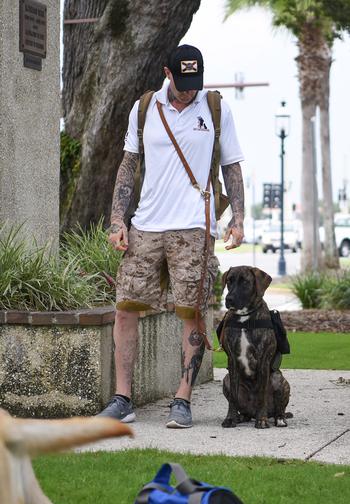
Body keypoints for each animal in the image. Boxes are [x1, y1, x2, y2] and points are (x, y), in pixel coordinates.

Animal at [220, 266, 292, 428]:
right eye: (229, 281)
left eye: (245, 282)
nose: (229, 299)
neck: (244, 317)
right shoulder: (232, 359)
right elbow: (233, 397)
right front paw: (230, 418)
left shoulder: (263, 359)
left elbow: (262, 394)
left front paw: (262, 420)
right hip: (226, 380)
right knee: (241, 407)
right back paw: (240, 417)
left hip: (280, 379)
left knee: (279, 409)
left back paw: (279, 418)